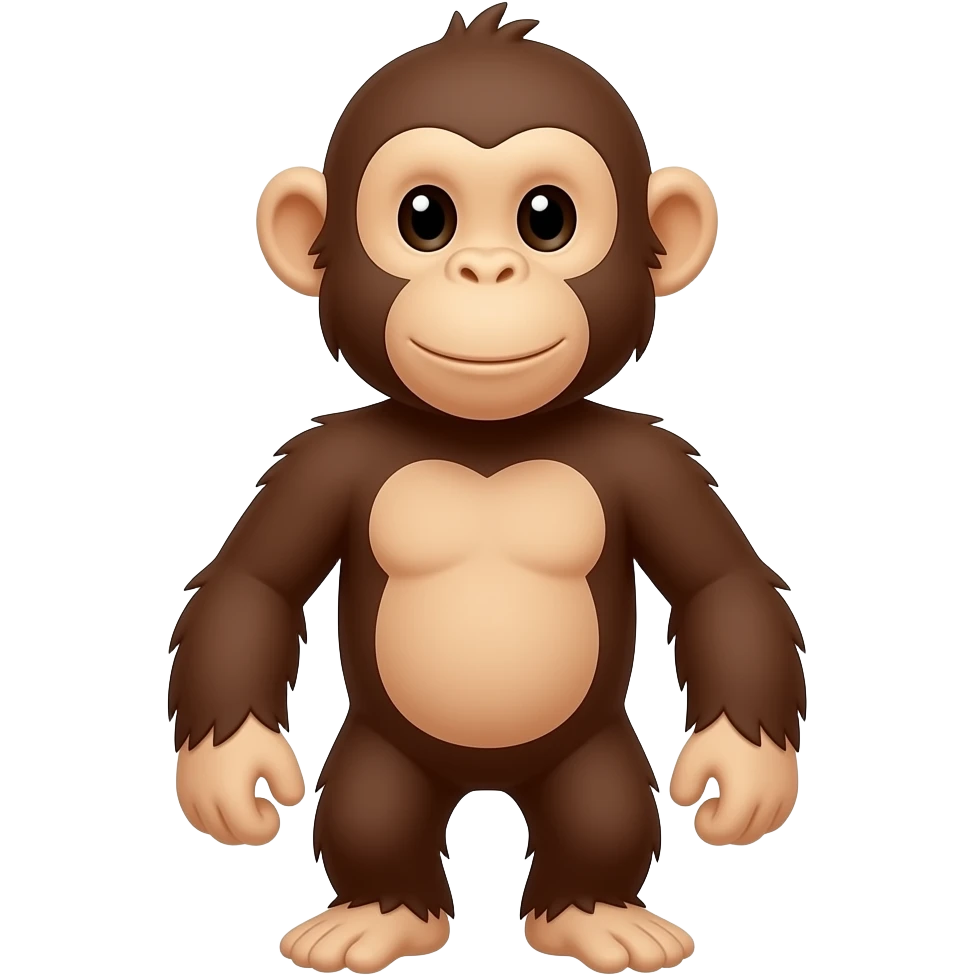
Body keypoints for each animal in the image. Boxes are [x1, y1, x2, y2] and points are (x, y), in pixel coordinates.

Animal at [169, 5, 806, 974]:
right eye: (424, 217)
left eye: (547, 217)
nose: (485, 270)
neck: (486, 441)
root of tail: (486, 780)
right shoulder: (321, 458)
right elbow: (254, 583)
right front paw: (229, 771)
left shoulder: (654, 459)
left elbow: (719, 582)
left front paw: (744, 772)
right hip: (383, 749)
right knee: (371, 806)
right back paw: (379, 913)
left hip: (590, 748)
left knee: (600, 807)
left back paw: (593, 912)